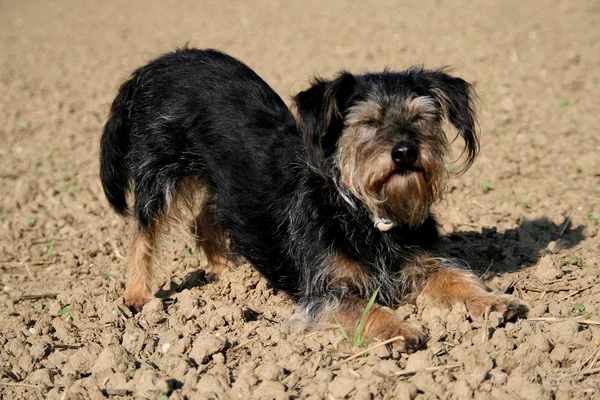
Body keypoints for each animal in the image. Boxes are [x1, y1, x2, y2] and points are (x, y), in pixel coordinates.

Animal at [102, 47, 524, 354]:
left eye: (420, 118)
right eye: (369, 122)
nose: (405, 151)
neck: (364, 212)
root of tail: (156, 64)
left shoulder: (420, 263)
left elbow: (455, 277)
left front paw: (491, 300)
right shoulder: (327, 290)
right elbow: (363, 307)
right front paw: (398, 328)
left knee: (205, 216)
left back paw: (227, 270)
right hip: (159, 168)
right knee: (143, 230)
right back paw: (137, 296)